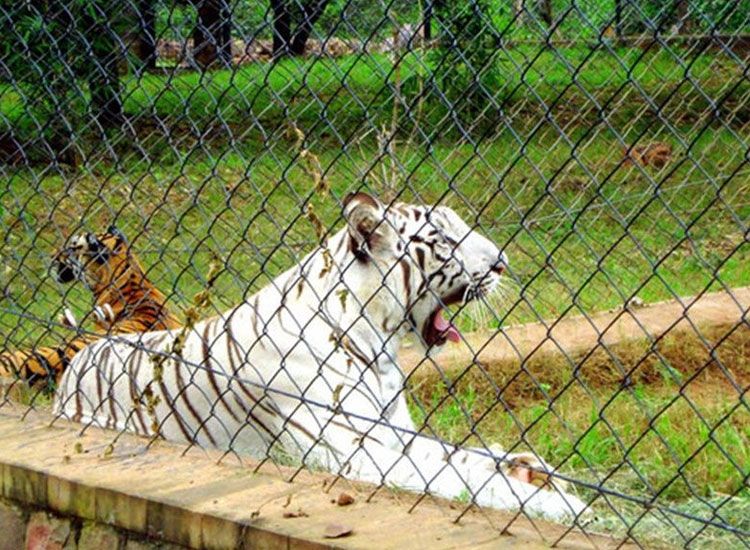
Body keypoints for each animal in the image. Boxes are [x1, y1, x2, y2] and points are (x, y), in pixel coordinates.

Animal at [55, 194, 592, 520]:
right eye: (444, 238)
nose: (503, 262)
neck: (379, 343)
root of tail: (80, 358)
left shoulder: (395, 432)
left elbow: (459, 455)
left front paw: (528, 467)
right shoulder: (354, 450)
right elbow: (453, 476)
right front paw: (565, 507)